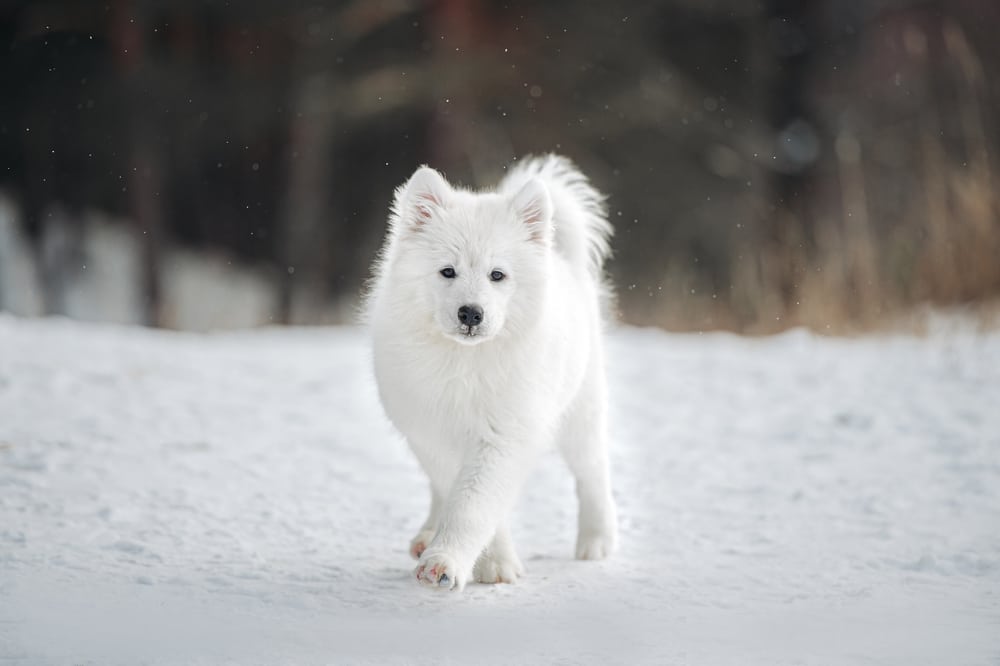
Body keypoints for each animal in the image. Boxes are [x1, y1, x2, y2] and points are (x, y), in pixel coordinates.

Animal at [368, 154, 616, 588]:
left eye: (497, 275)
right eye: (447, 271)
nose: (471, 313)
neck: (466, 362)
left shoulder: (503, 436)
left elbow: (474, 504)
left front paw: (450, 563)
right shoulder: (434, 434)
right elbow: (466, 499)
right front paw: (485, 563)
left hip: (581, 409)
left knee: (592, 472)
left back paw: (596, 540)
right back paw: (427, 533)